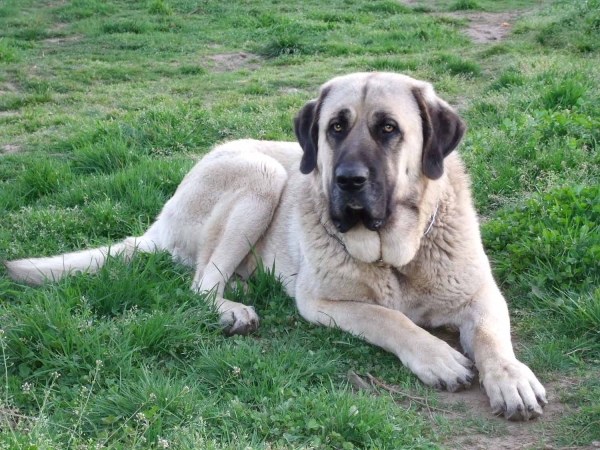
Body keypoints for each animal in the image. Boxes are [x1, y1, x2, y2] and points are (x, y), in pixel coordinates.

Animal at [4, 72, 548, 420]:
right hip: (260, 174)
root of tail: (163, 216)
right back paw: (232, 310)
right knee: (199, 284)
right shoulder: (323, 301)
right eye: (335, 128)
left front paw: (511, 378)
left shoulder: (480, 295)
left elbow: (493, 339)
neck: (398, 254)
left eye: (388, 129)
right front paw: (436, 356)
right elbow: (388, 318)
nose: (348, 181)